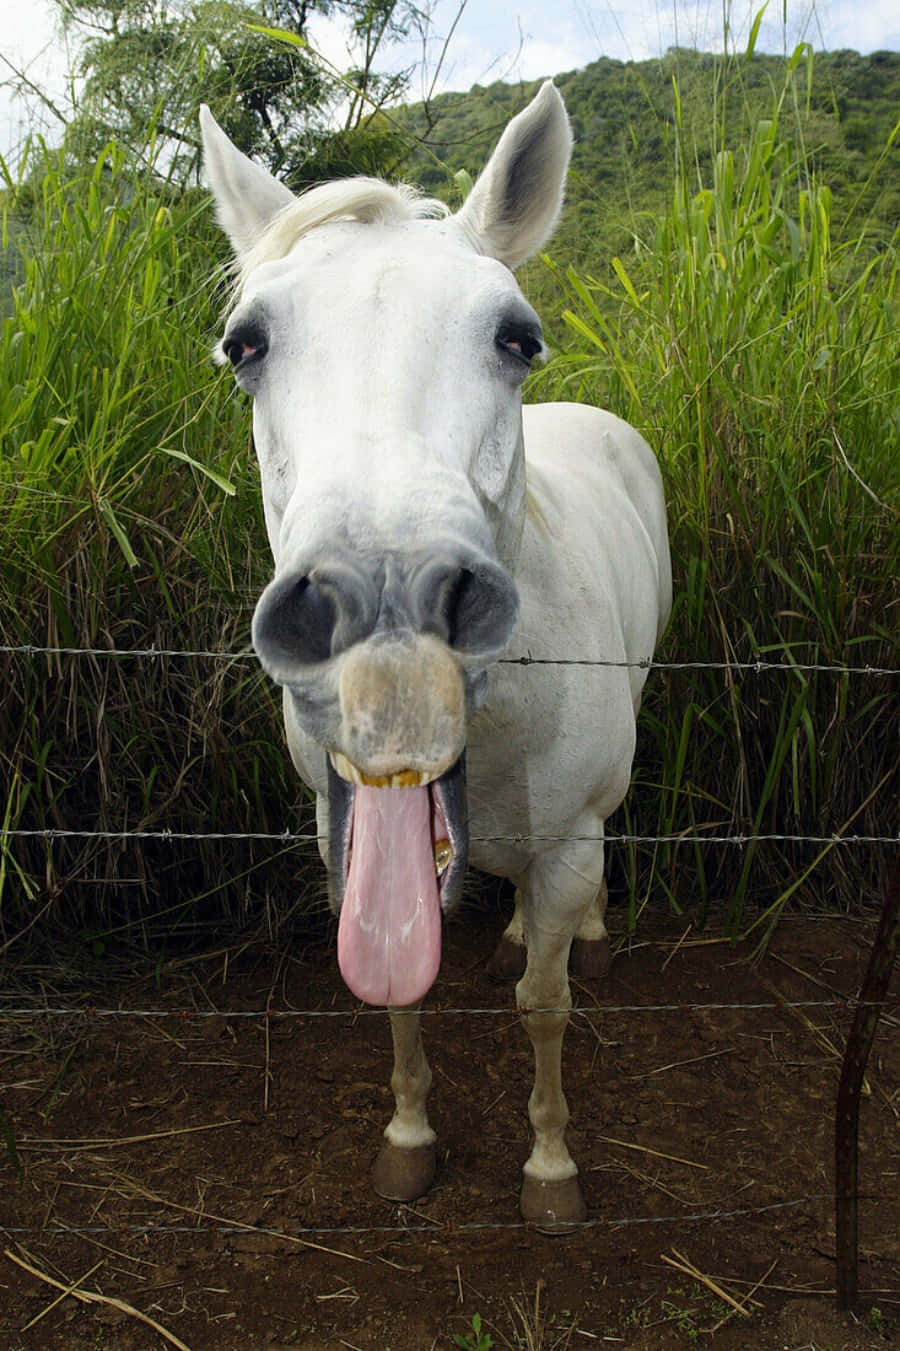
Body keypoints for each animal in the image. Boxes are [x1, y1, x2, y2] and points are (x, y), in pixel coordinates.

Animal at [200, 82, 671, 1231]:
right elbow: (398, 984)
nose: (380, 602)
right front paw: (408, 1140)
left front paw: (550, 1166)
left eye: (517, 336)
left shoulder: (567, 842)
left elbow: (545, 1006)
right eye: (246, 345)